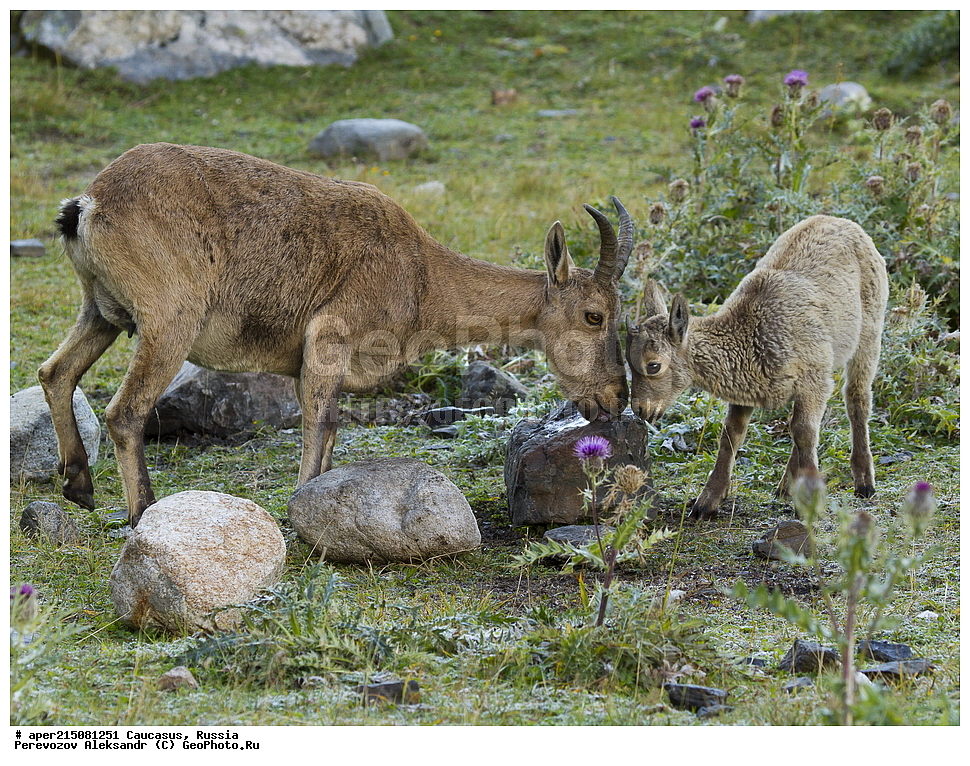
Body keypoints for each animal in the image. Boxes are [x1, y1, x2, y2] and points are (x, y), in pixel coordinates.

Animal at [39, 142, 633, 527]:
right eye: (595, 315)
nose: (615, 398)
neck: (421, 275)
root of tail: (88, 205)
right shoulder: (328, 340)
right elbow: (319, 422)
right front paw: (301, 505)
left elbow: (329, 428)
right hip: (169, 323)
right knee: (124, 411)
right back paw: (141, 511)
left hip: (102, 312)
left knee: (55, 371)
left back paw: (79, 485)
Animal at [626, 215, 888, 520]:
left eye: (654, 365)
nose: (641, 409)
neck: (751, 332)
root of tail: (844, 223)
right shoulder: (746, 391)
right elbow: (732, 434)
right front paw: (706, 502)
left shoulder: (813, 379)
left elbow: (804, 431)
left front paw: (810, 503)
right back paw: (786, 487)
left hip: (869, 335)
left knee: (857, 398)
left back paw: (864, 482)